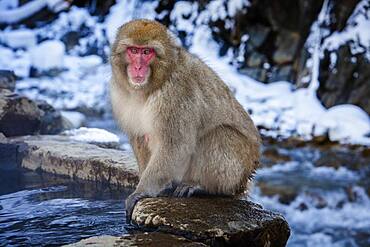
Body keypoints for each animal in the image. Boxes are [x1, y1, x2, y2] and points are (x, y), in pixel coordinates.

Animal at [109, 19, 260, 220]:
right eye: (133, 50)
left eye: (146, 52)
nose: (138, 67)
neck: (152, 86)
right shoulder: (120, 94)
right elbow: (139, 138)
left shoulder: (177, 94)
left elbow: (175, 144)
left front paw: (142, 192)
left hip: (239, 168)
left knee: (220, 135)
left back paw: (205, 187)